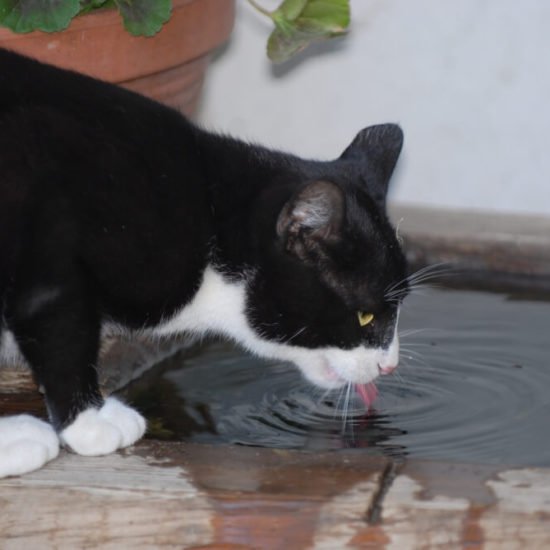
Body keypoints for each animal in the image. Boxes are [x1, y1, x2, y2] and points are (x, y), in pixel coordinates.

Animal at [0, 48, 406, 478]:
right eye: (365, 316)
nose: (390, 366)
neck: (211, 217)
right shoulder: (52, 245)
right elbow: (61, 326)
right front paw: (90, 424)